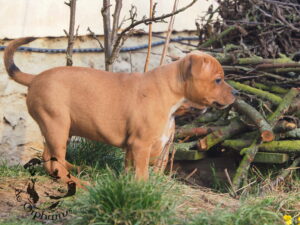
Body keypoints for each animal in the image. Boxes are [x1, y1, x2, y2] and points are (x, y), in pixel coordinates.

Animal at [2, 37, 237, 187]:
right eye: (218, 80)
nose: (235, 92)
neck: (172, 92)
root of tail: (35, 77)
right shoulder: (141, 144)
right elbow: (142, 174)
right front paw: (142, 190)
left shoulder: (133, 147)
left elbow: (129, 169)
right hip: (57, 124)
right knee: (55, 161)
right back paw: (77, 182)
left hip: (58, 128)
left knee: (49, 158)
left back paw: (76, 169)